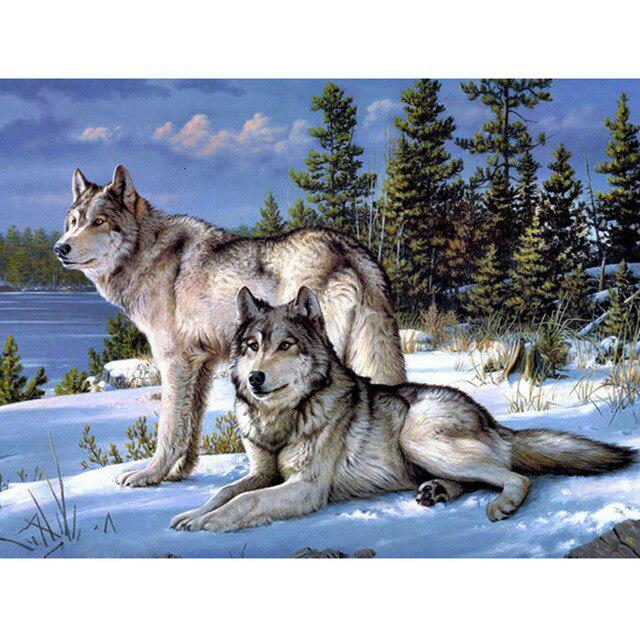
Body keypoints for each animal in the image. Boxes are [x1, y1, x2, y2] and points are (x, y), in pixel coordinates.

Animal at [54, 165, 406, 488]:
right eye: (73, 222)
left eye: (98, 222)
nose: (60, 248)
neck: (147, 254)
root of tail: (350, 248)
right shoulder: (201, 364)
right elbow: (190, 425)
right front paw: (178, 473)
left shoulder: (173, 362)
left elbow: (169, 427)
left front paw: (150, 475)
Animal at [170, 287, 636, 532]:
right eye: (253, 346)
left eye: (286, 345)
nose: (255, 378)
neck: (282, 419)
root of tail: (490, 418)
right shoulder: (262, 473)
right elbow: (224, 492)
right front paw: (192, 513)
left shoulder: (306, 487)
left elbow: (244, 503)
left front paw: (205, 523)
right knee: (479, 477)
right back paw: (438, 492)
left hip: (418, 438)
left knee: (516, 476)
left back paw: (500, 505)